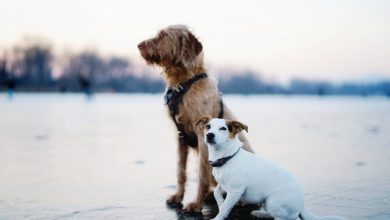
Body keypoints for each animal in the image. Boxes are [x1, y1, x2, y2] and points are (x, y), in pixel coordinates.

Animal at [137, 25, 253, 213]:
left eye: (163, 35)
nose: (139, 45)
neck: (184, 82)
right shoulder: (180, 137)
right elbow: (181, 171)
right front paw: (178, 197)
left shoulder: (202, 138)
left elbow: (202, 174)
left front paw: (195, 204)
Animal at [195, 117, 348, 220]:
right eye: (208, 126)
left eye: (223, 128)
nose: (209, 135)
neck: (227, 158)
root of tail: (302, 205)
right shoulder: (223, 184)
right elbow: (217, 193)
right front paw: (221, 204)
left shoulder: (236, 190)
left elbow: (226, 206)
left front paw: (219, 215)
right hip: (266, 201)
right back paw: (260, 213)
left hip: (273, 200)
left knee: (282, 217)